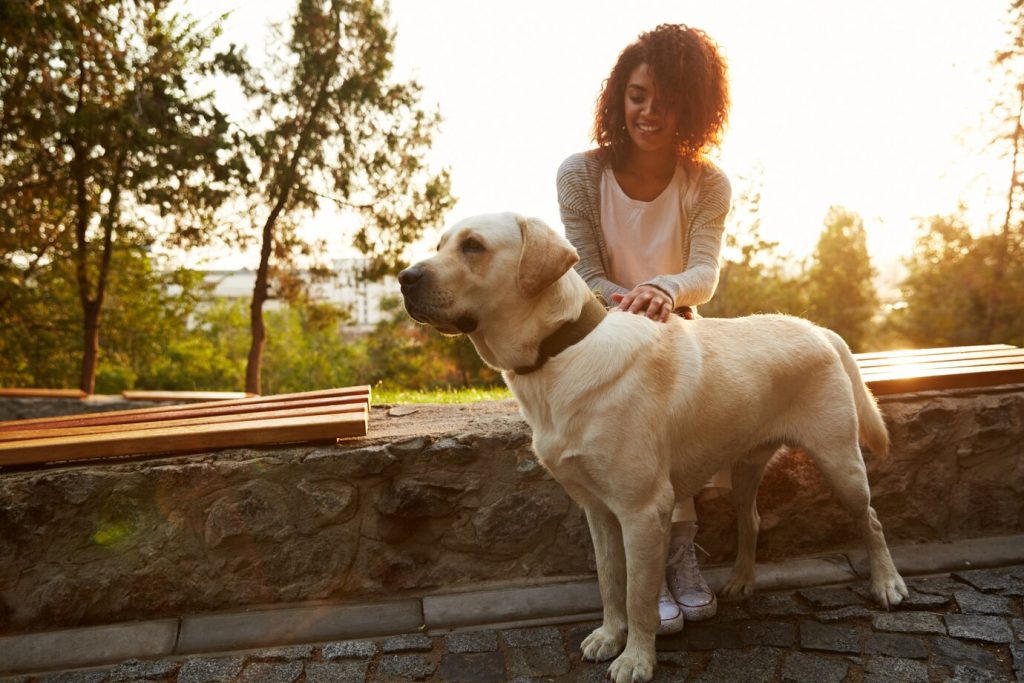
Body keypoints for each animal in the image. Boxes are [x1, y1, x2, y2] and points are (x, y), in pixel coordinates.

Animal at [395, 210, 909, 679]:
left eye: (474, 246)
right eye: (440, 245)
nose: (405, 278)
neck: (560, 353)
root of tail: (816, 328)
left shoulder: (642, 509)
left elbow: (639, 594)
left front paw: (636, 658)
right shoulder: (598, 512)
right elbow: (610, 582)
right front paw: (609, 636)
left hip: (840, 463)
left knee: (871, 519)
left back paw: (887, 583)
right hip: (744, 467)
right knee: (753, 521)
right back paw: (742, 581)